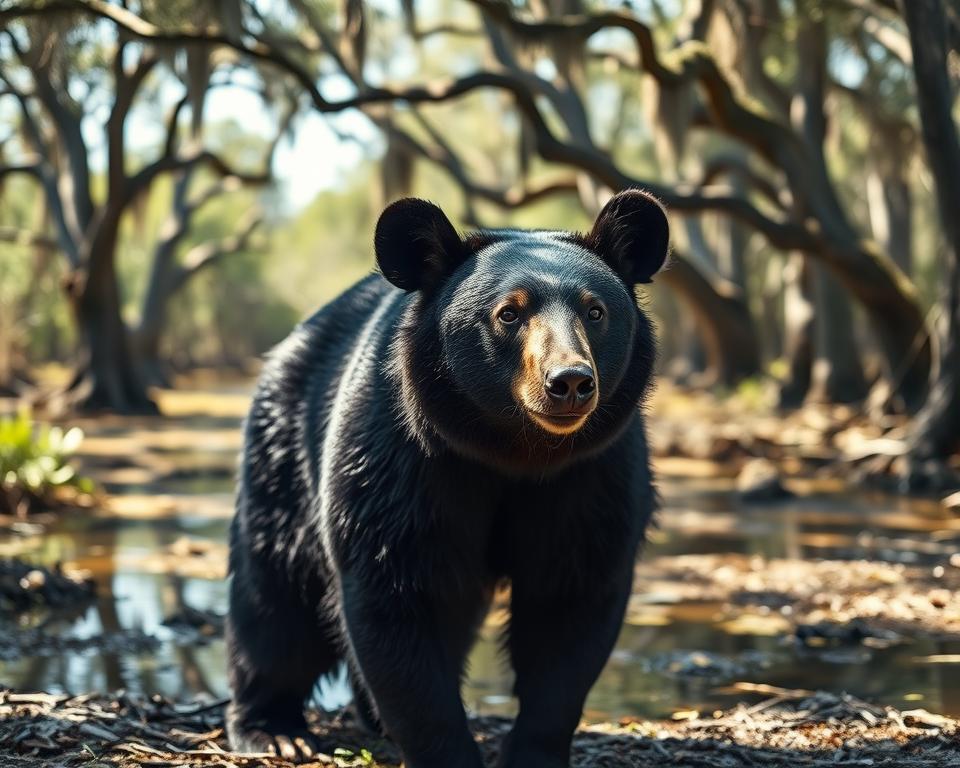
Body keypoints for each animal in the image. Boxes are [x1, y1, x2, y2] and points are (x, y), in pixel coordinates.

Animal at [225, 189, 669, 768]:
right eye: (508, 313)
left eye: (596, 311)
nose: (570, 382)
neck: (516, 451)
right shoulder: (398, 461)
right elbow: (396, 593)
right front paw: (446, 748)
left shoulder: (595, 473)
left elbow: (570, 602)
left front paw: (531, 751)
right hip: (282, 453)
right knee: (274, 596)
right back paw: (272, 729)